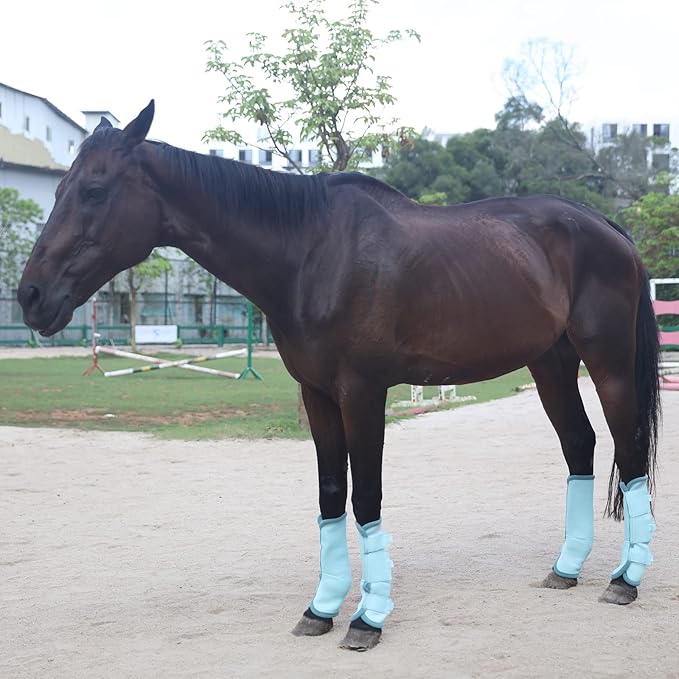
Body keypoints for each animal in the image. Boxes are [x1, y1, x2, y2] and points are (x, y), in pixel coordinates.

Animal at [18, 101, 660, 652]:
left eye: (95, 190)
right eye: (60, 188)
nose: (31, 296)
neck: (312, 252)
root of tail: (606, 226)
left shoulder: (363, 393)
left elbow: (366, 496)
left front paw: (367, 618)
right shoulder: (318, 395)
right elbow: (330, 495)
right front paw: (321, 608)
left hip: (606, 362)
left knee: (628, 450)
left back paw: (624, 580)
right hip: (550, 364)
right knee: (580, 445)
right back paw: (566, 569)